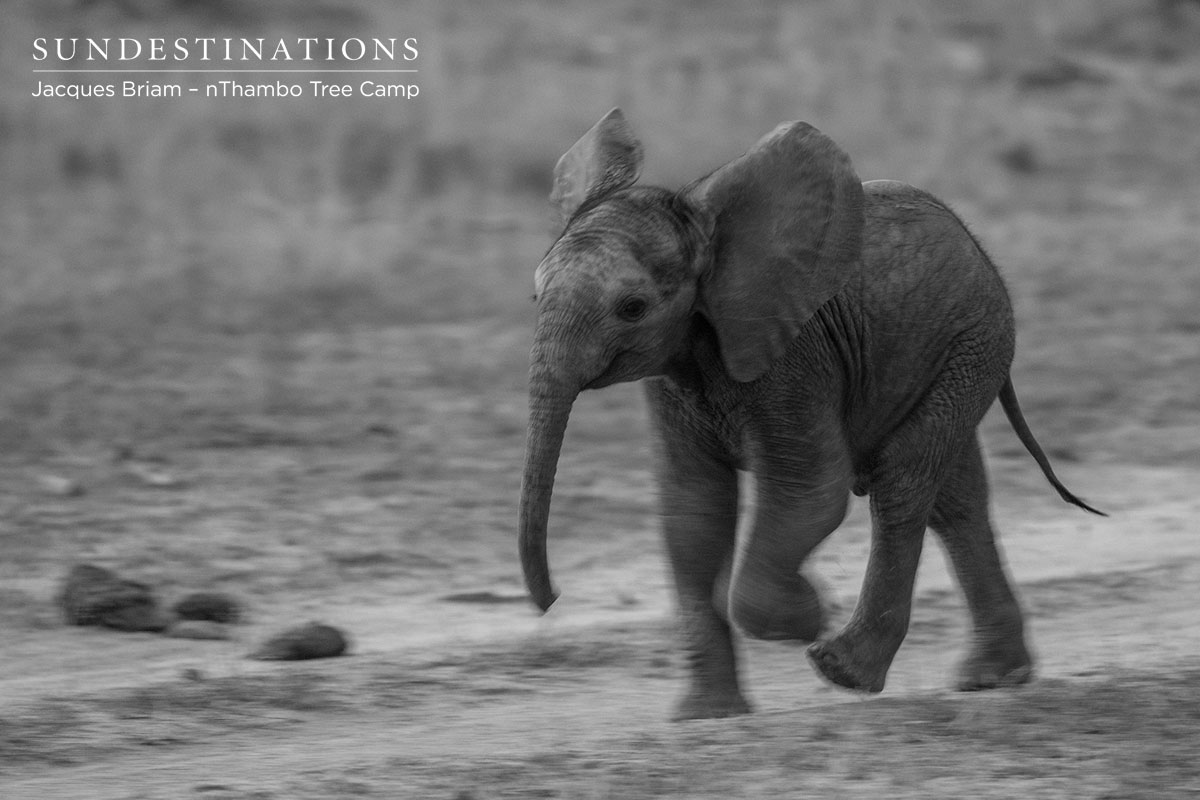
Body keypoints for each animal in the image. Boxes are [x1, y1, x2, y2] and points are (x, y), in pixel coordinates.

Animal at [517, 108, 1103, 721]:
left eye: (631, 308)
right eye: (535, 298)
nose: (552, 600)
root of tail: (976, 244)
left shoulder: (793, 357)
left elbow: (809, 495)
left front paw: (811, 612)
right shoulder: (672, 377)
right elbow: (693, 512)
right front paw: (706, 716)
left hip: (974, 341)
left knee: (903, 481)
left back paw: (845, 668)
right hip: (953, 353)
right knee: (954, 498)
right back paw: (993, 677)